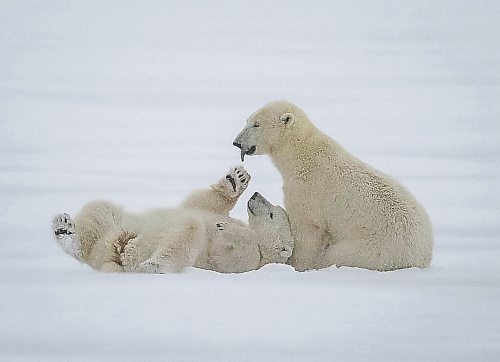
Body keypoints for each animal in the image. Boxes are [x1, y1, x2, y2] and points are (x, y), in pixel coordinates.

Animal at [51, 165, 292, 272]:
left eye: (272, 214)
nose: (257, 195)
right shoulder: (208, 210)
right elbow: (200, 203)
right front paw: (237, 179)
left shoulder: (249, 262)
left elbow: (230, 256)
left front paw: (231, 230)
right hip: (115, 228)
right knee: (100, 210)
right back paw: (65, 230)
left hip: (136, 248)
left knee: (188, 230)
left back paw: (153, 264)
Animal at [234, 101, 434, 272]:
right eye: (247, 121)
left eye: (257, 124)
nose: (236, 142)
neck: (302, 156)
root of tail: (422, 258)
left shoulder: (308, 191)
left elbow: (306, 230)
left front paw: (297, 264)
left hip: (374, 249)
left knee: (336, 255)